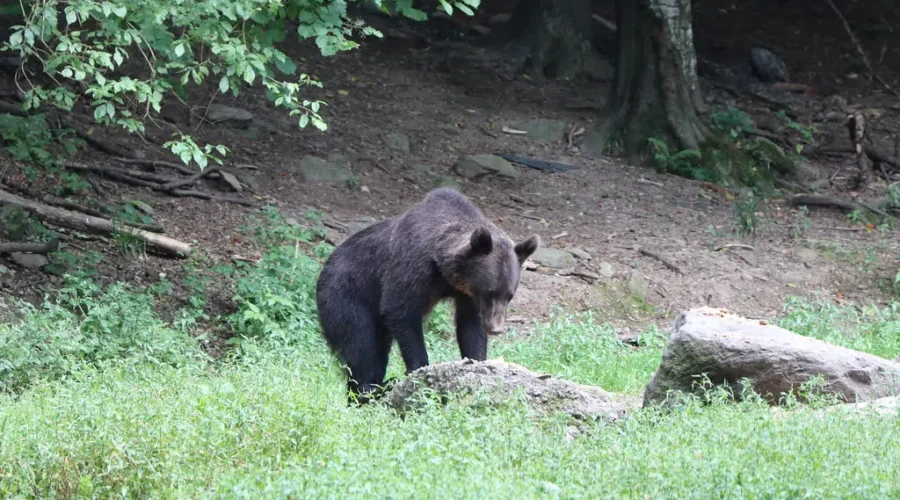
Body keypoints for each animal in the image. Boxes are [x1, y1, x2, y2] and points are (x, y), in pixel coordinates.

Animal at [315, 187, 539, 403]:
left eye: (509, 295)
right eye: (490, 292)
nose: (496, 328)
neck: (446, 272)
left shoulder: (467, 295)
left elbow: (470, 325)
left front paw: (477, 362)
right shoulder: (412, 264)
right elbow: (401, 310)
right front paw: (419, 370)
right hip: (346, 295)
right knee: (360, 342)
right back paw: (371, 387)